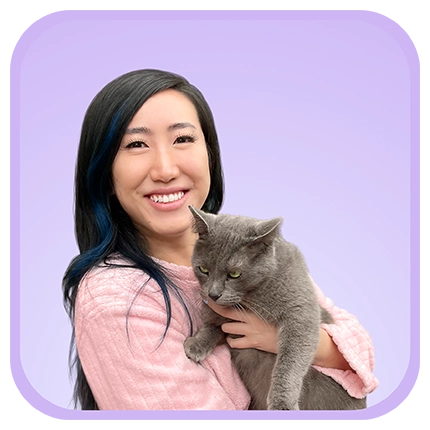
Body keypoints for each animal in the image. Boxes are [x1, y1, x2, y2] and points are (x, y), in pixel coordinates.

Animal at [183, 207, 368, 412]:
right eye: (203, 269)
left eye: (234, 274)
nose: (213, 294)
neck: (251, 298)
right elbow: (213, 326)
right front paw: (196, 344)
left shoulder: (300, 313)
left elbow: (290, 361)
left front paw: (282, 404)